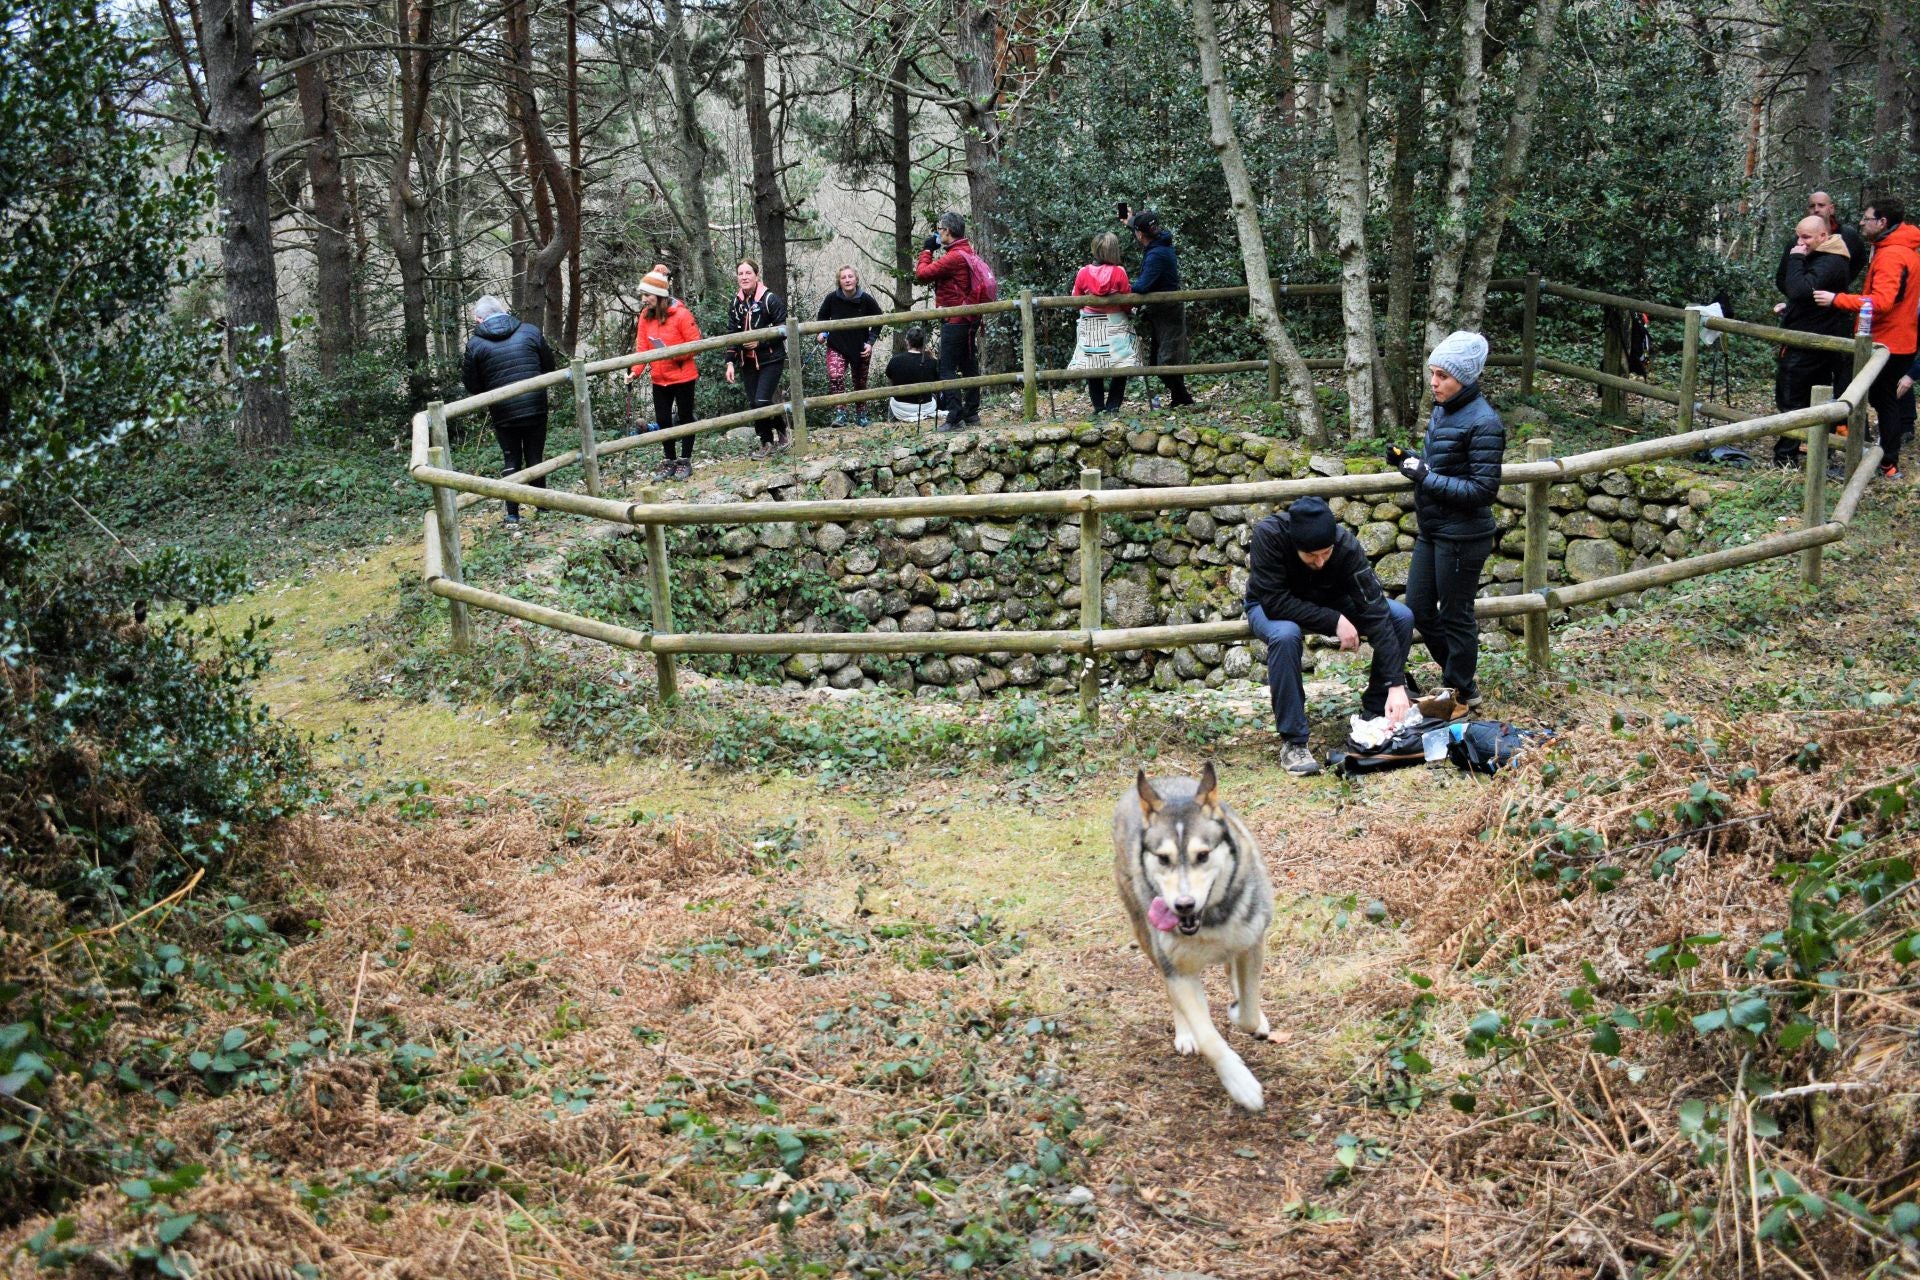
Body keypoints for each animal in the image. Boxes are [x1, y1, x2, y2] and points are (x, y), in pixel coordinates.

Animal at [1113, 759, 1274, 1113]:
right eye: (1163, 858)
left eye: (1203, 855)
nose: (1183, 905)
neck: (1209, 921)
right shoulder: (1179, 972)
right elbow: (1209, 1037)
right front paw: (1240, 1084)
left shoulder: (1252, 943)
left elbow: (1248, 1012)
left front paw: (1244, 1011)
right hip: (1145, 935)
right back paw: (1185, 1033)